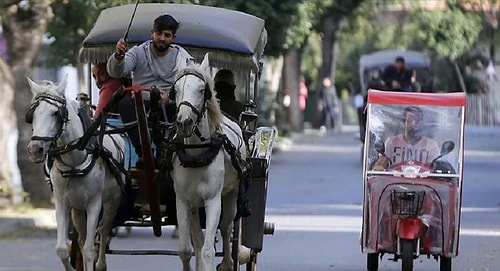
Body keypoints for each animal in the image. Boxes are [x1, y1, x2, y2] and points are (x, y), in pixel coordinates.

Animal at [26, 76, 126, 271]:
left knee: (104, 229)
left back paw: (101, 264)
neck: (74, 161)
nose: (35, 150)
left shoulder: (95, 203)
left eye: (55, 113)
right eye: (31, 115)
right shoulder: (62, 203)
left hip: (112, 200)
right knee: (81, 238)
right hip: (78, 209)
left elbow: (89, 249)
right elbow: (62, 249)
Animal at [170, 53, 246, 271]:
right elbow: (186, 249)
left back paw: (228, 263)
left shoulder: (213, 200)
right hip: (195, 204)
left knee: (226, 226)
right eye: (175, 90)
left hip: (232, 194)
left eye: (202, 90)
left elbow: (207, 251)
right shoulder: (182, 200)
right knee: (197, 239)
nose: (184, 122)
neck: (197, 153)